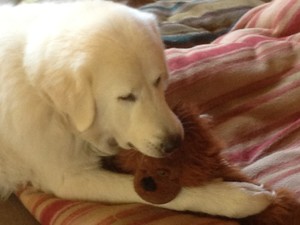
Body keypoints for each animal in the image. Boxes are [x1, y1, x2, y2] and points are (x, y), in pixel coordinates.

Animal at [0, 0, 274, 218]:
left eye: (158, 81)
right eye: (126, 97)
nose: (175, 143)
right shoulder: (68, 178)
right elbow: (164, 193)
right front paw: (234, 196)